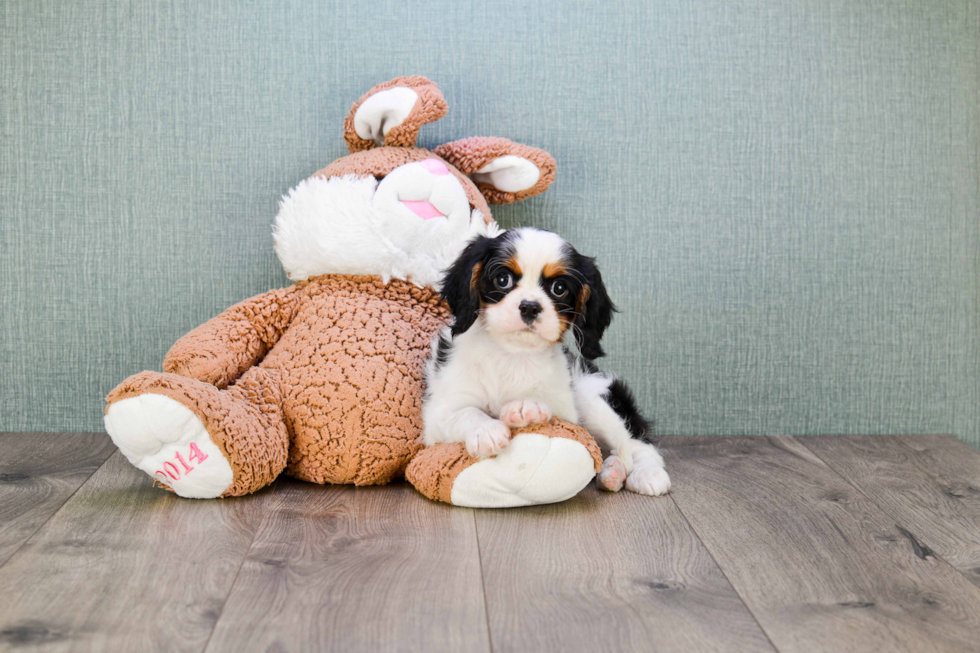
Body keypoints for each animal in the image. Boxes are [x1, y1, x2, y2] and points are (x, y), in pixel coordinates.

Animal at [424, 228, 668, 494]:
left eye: (559, 288)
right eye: (502, 280)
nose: (530, 307)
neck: (513, 354)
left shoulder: (567, 411)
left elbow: (550, 410)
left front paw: (526, 406)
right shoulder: (438, 414)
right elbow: (465, 413)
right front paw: (486, 430)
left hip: (591, 394)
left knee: (637, 445)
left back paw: (646, 474)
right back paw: (613, 472)